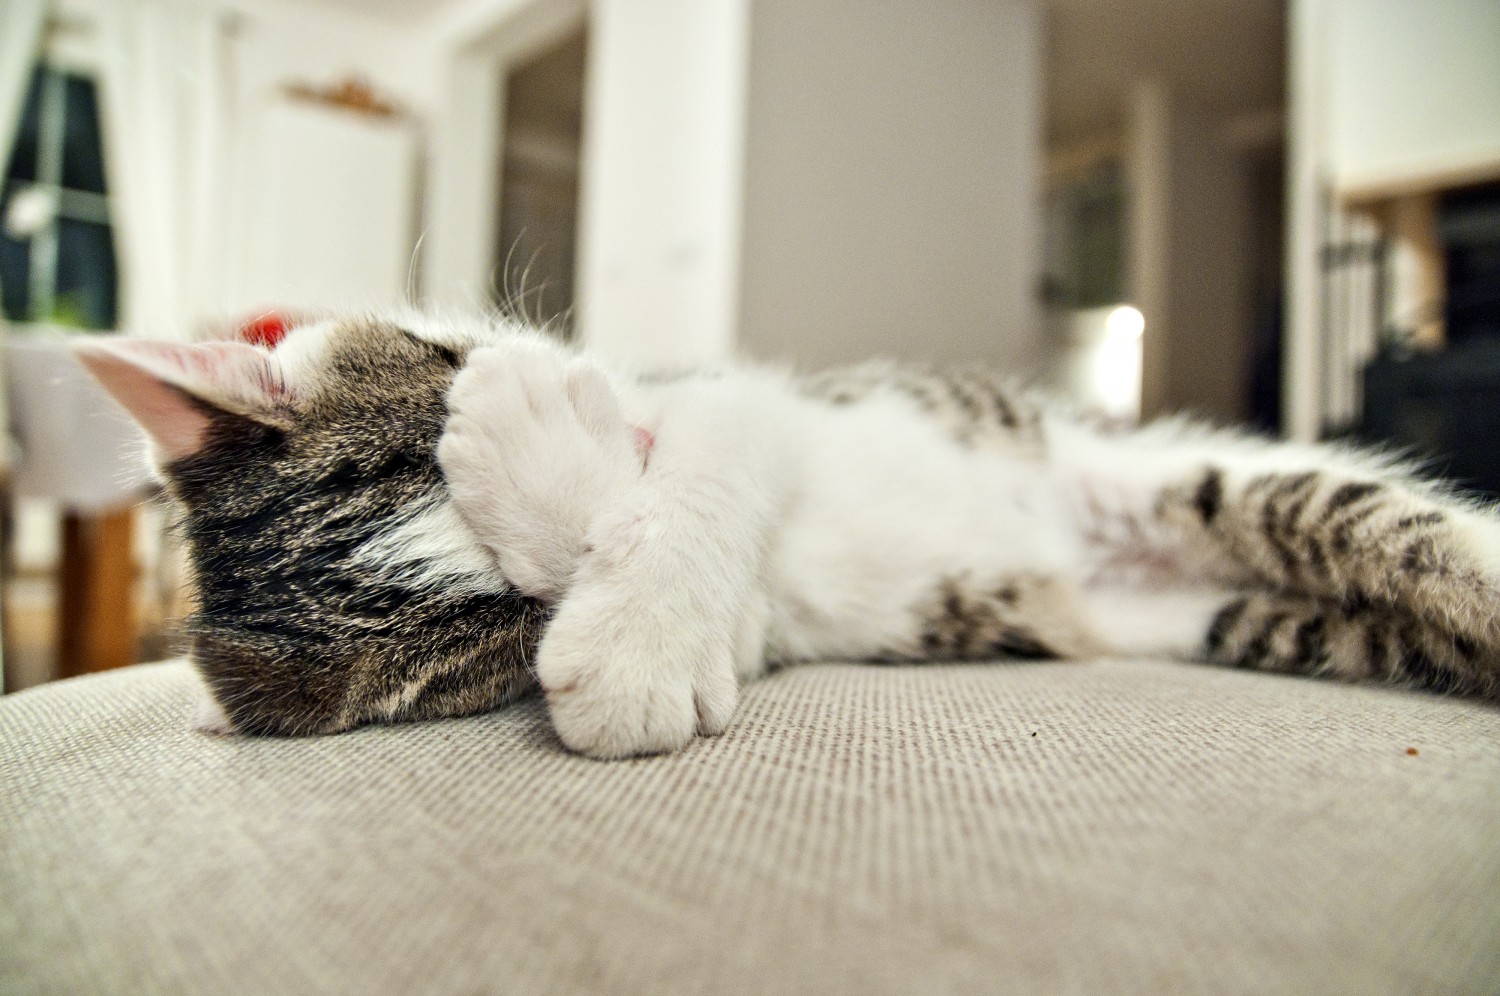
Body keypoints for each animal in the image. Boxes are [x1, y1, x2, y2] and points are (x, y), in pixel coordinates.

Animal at [76, 312, 1500, 756]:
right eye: (503, 633)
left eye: (446, 352)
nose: (621, 427)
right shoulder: (759, 622)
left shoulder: (743, 400)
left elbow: (713, 453)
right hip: (1209, 612)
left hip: (1212, 487)